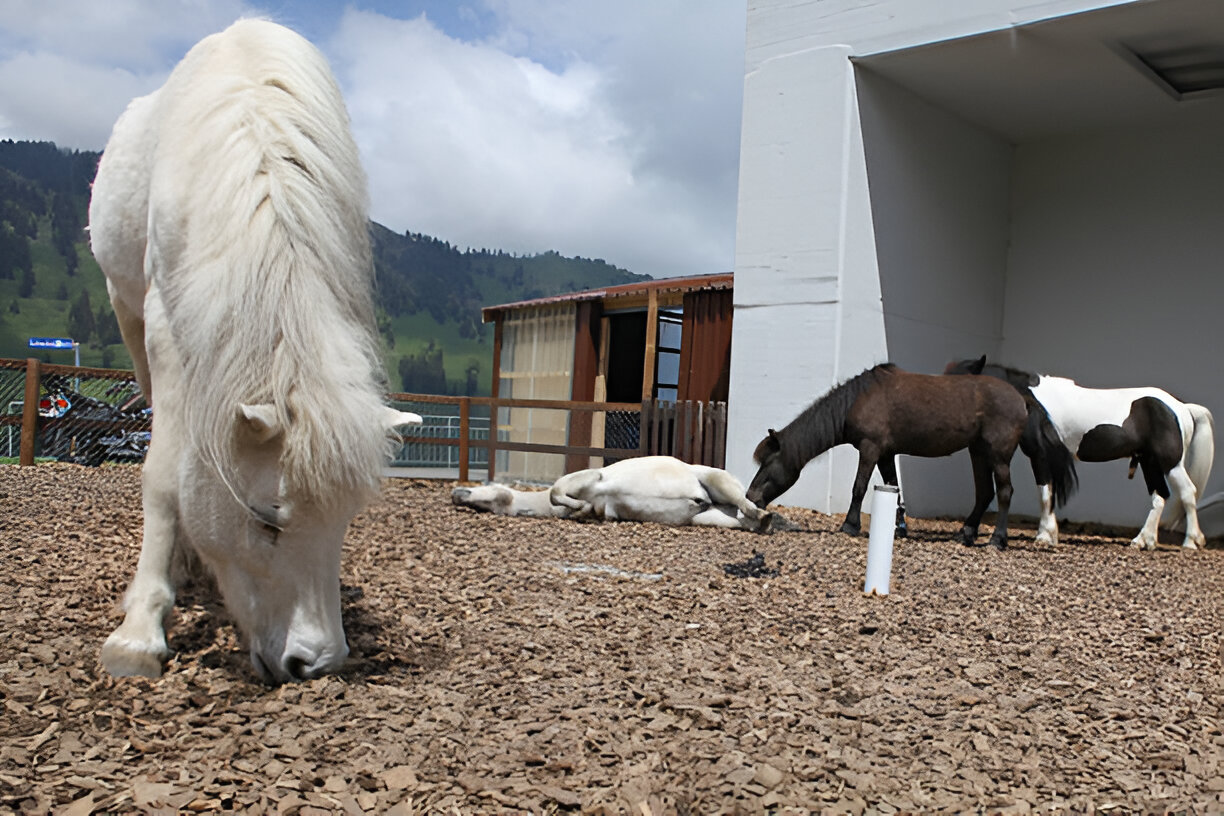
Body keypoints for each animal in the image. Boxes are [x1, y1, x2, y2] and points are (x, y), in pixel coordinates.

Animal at [88, 19, 421, 683]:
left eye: (346, 521)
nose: (316, 663)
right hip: (125, 307)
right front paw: (138, 633)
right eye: (267, 519)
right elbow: (163, 474)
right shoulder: (164, 330)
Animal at [746, 363, 1031, 549]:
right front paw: (898, 529)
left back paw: (997, 539)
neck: (857, 400)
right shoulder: (886, 454)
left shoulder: (870, 449)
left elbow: (859, 487)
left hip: (998, 455)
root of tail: (1020, 399)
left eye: (768, 462)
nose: (751, 496)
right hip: (978, 452)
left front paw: (850, 525)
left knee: (1004, 492)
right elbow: (893, 487)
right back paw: (967, 533)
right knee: (984, 492)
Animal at [946, 357, 1215, 549]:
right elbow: (1048, 493)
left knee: (1187, 493)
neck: (1031, 400)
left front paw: (1044, 536)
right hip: (1150, 463)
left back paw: (1191, 542)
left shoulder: (1040, 455)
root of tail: (1181, 407)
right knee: (1160, 496)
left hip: (1170, 463)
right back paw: (1142, 541)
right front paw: (1049, 534)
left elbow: (1045, 492)